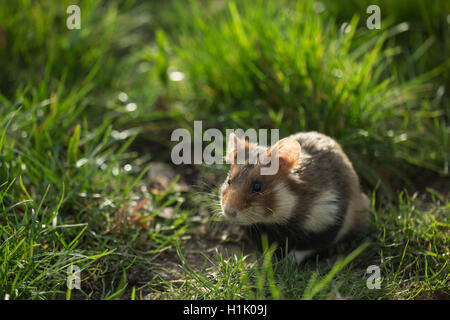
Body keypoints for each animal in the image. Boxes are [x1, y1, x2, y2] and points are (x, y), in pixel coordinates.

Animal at [220, 131, 370, 262]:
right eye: (229, 181)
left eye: (257, 187)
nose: (228, 211)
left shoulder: (329, 220)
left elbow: (304, 248)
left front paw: (286, 262)